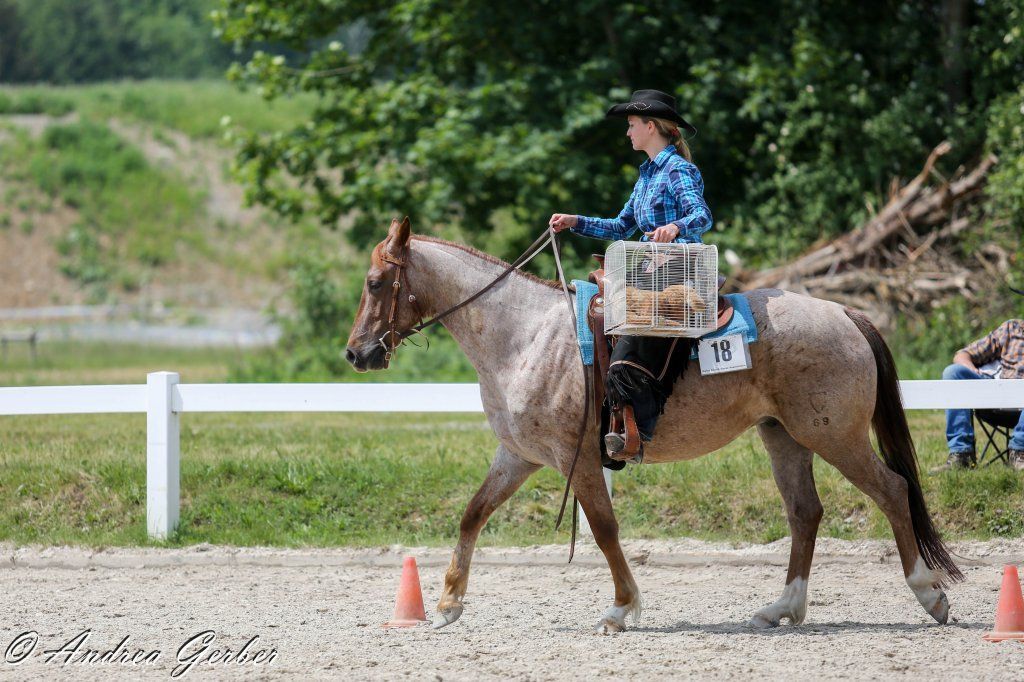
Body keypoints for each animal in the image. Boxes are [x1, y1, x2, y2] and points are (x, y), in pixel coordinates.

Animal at [345, 217, 963, 633]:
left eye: (375, 282)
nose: (356, 354)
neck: (523, 335)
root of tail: (845, 313)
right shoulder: (518, 454)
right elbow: (473, 513)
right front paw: (448, 604)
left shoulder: (579, 458)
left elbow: (604, 530)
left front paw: (620, 609)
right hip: (783, 436)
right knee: (805, 513)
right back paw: (781, 608)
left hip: (834, 435)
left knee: (892, 491)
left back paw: (929, 596)